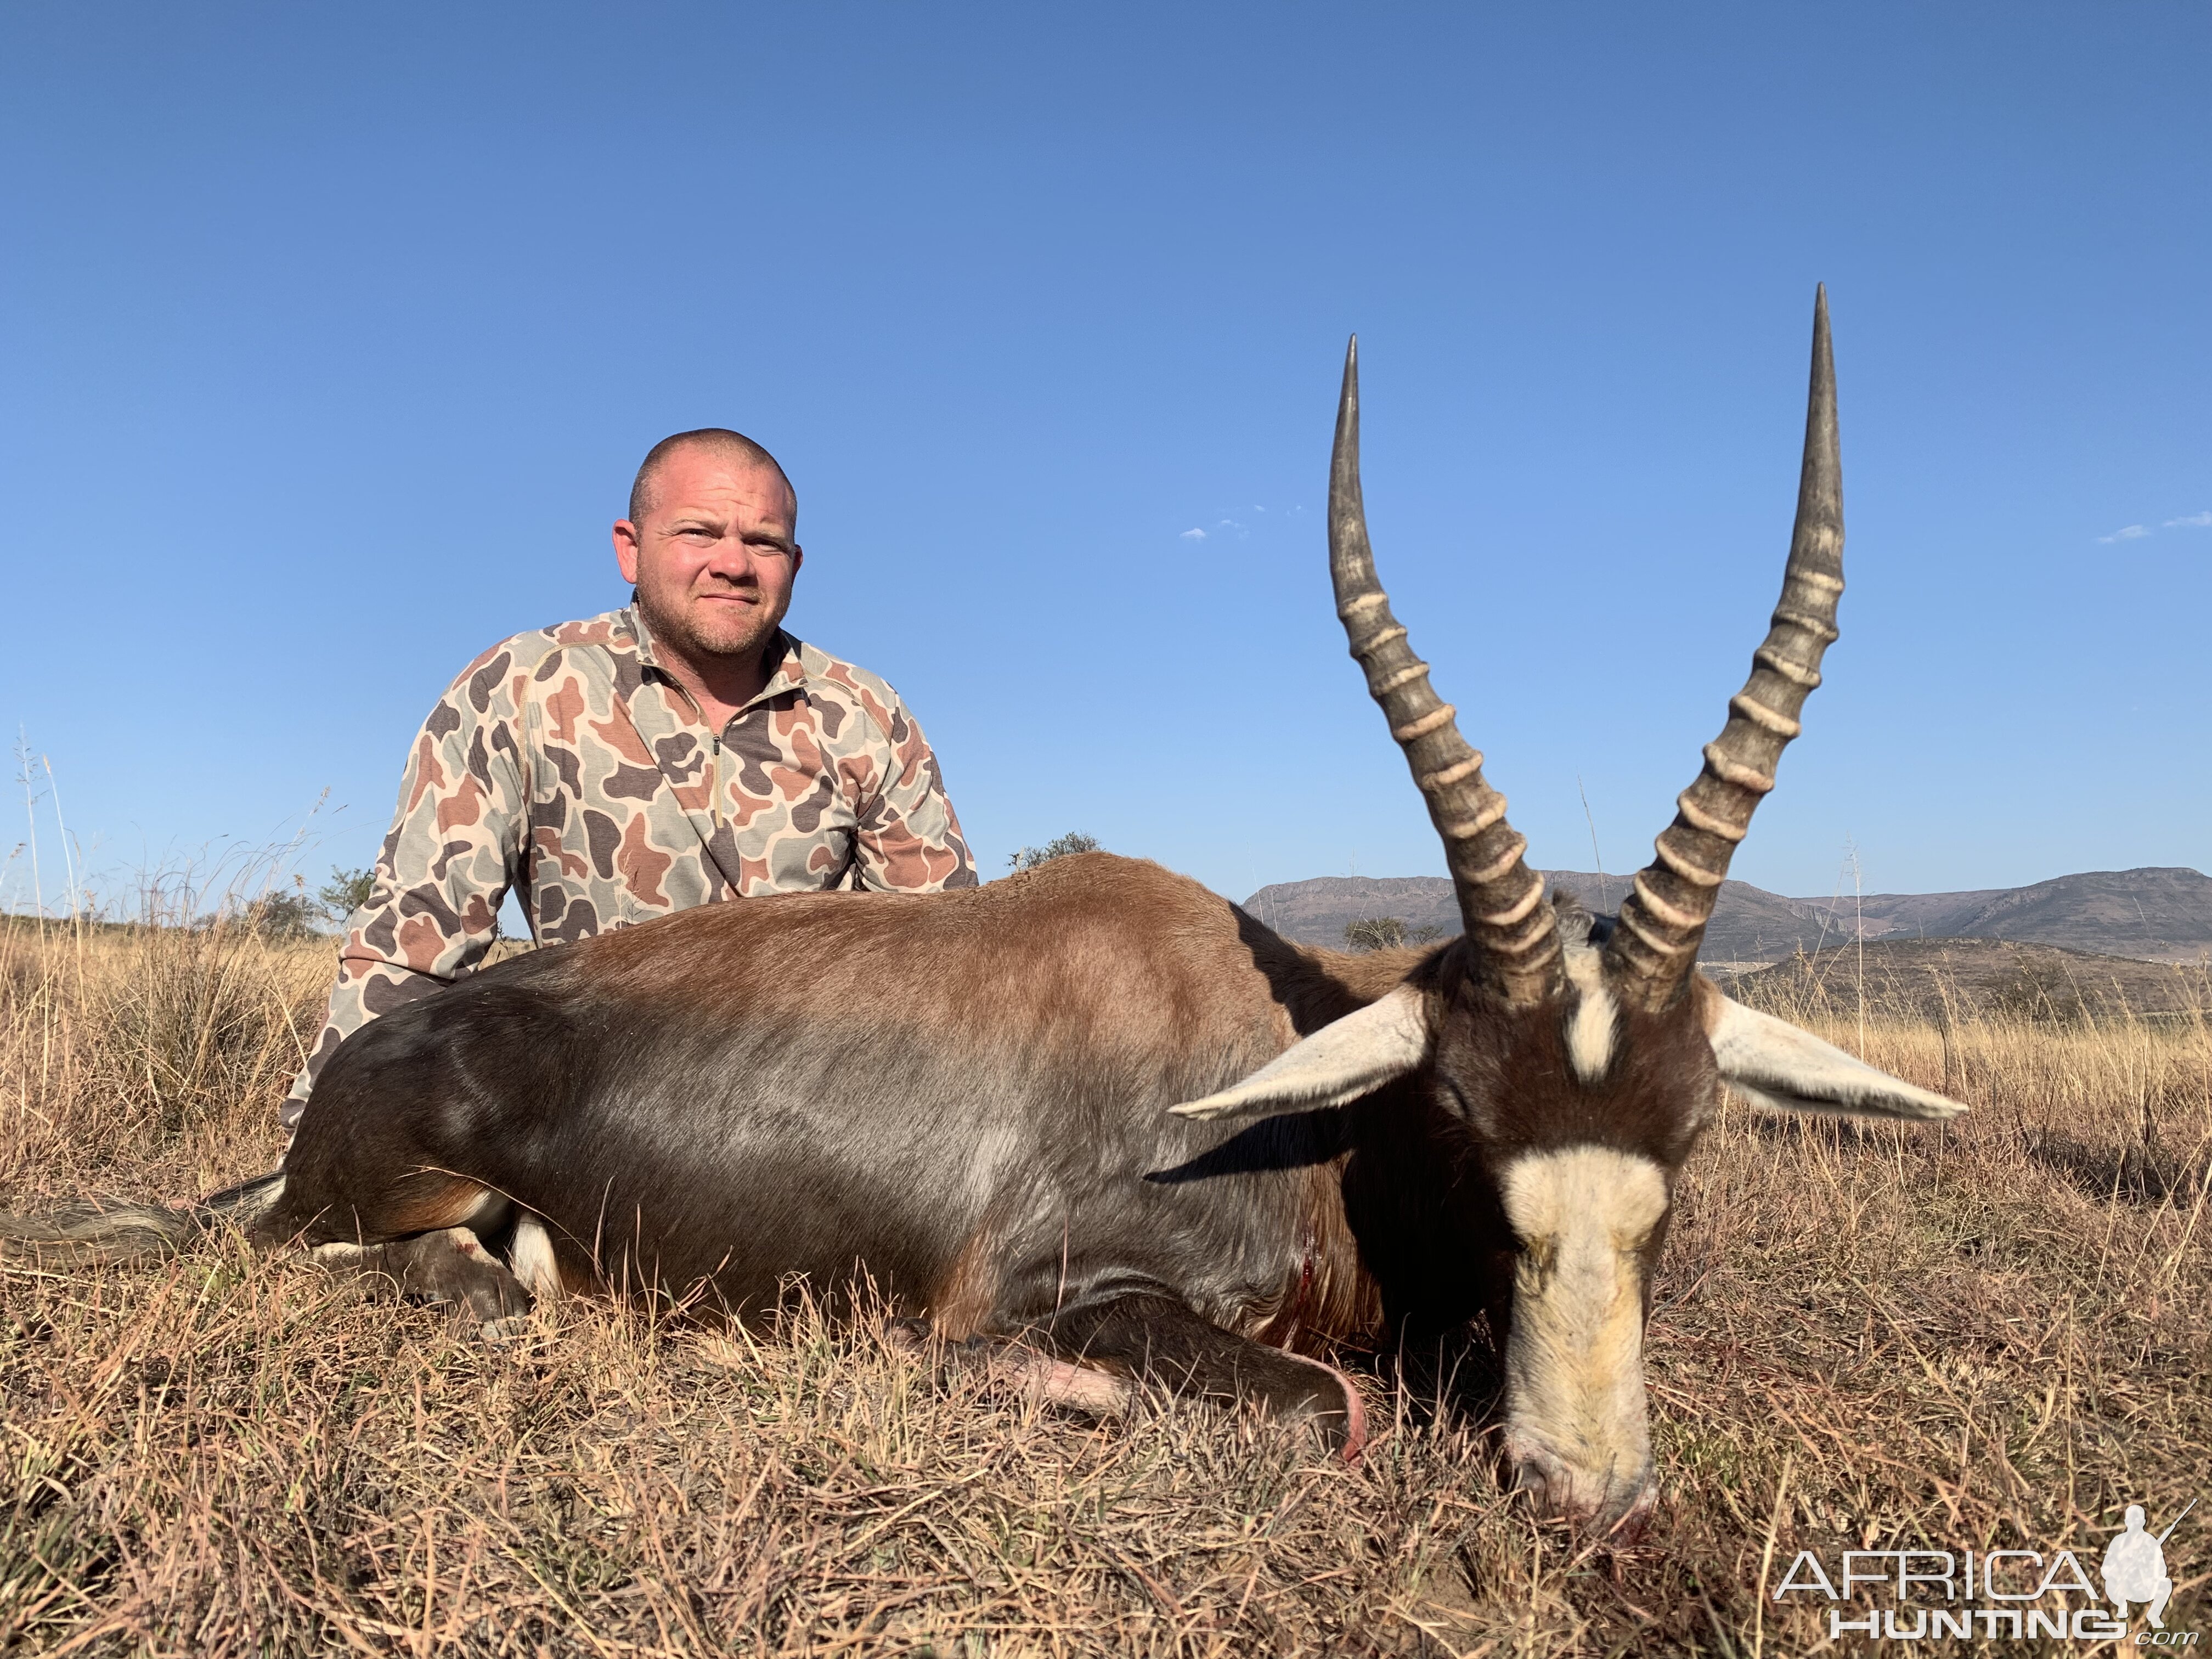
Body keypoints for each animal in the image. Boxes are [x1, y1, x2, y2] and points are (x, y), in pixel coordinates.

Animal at [13, 290, 1955, 1531]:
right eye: (1466, 1119)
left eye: (1687, 1136)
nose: (1591, 1502)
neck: (1284, 1093)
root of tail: (376, 1059)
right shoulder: (1048, 1291)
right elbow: (1322, 1413)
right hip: (392, 1220)